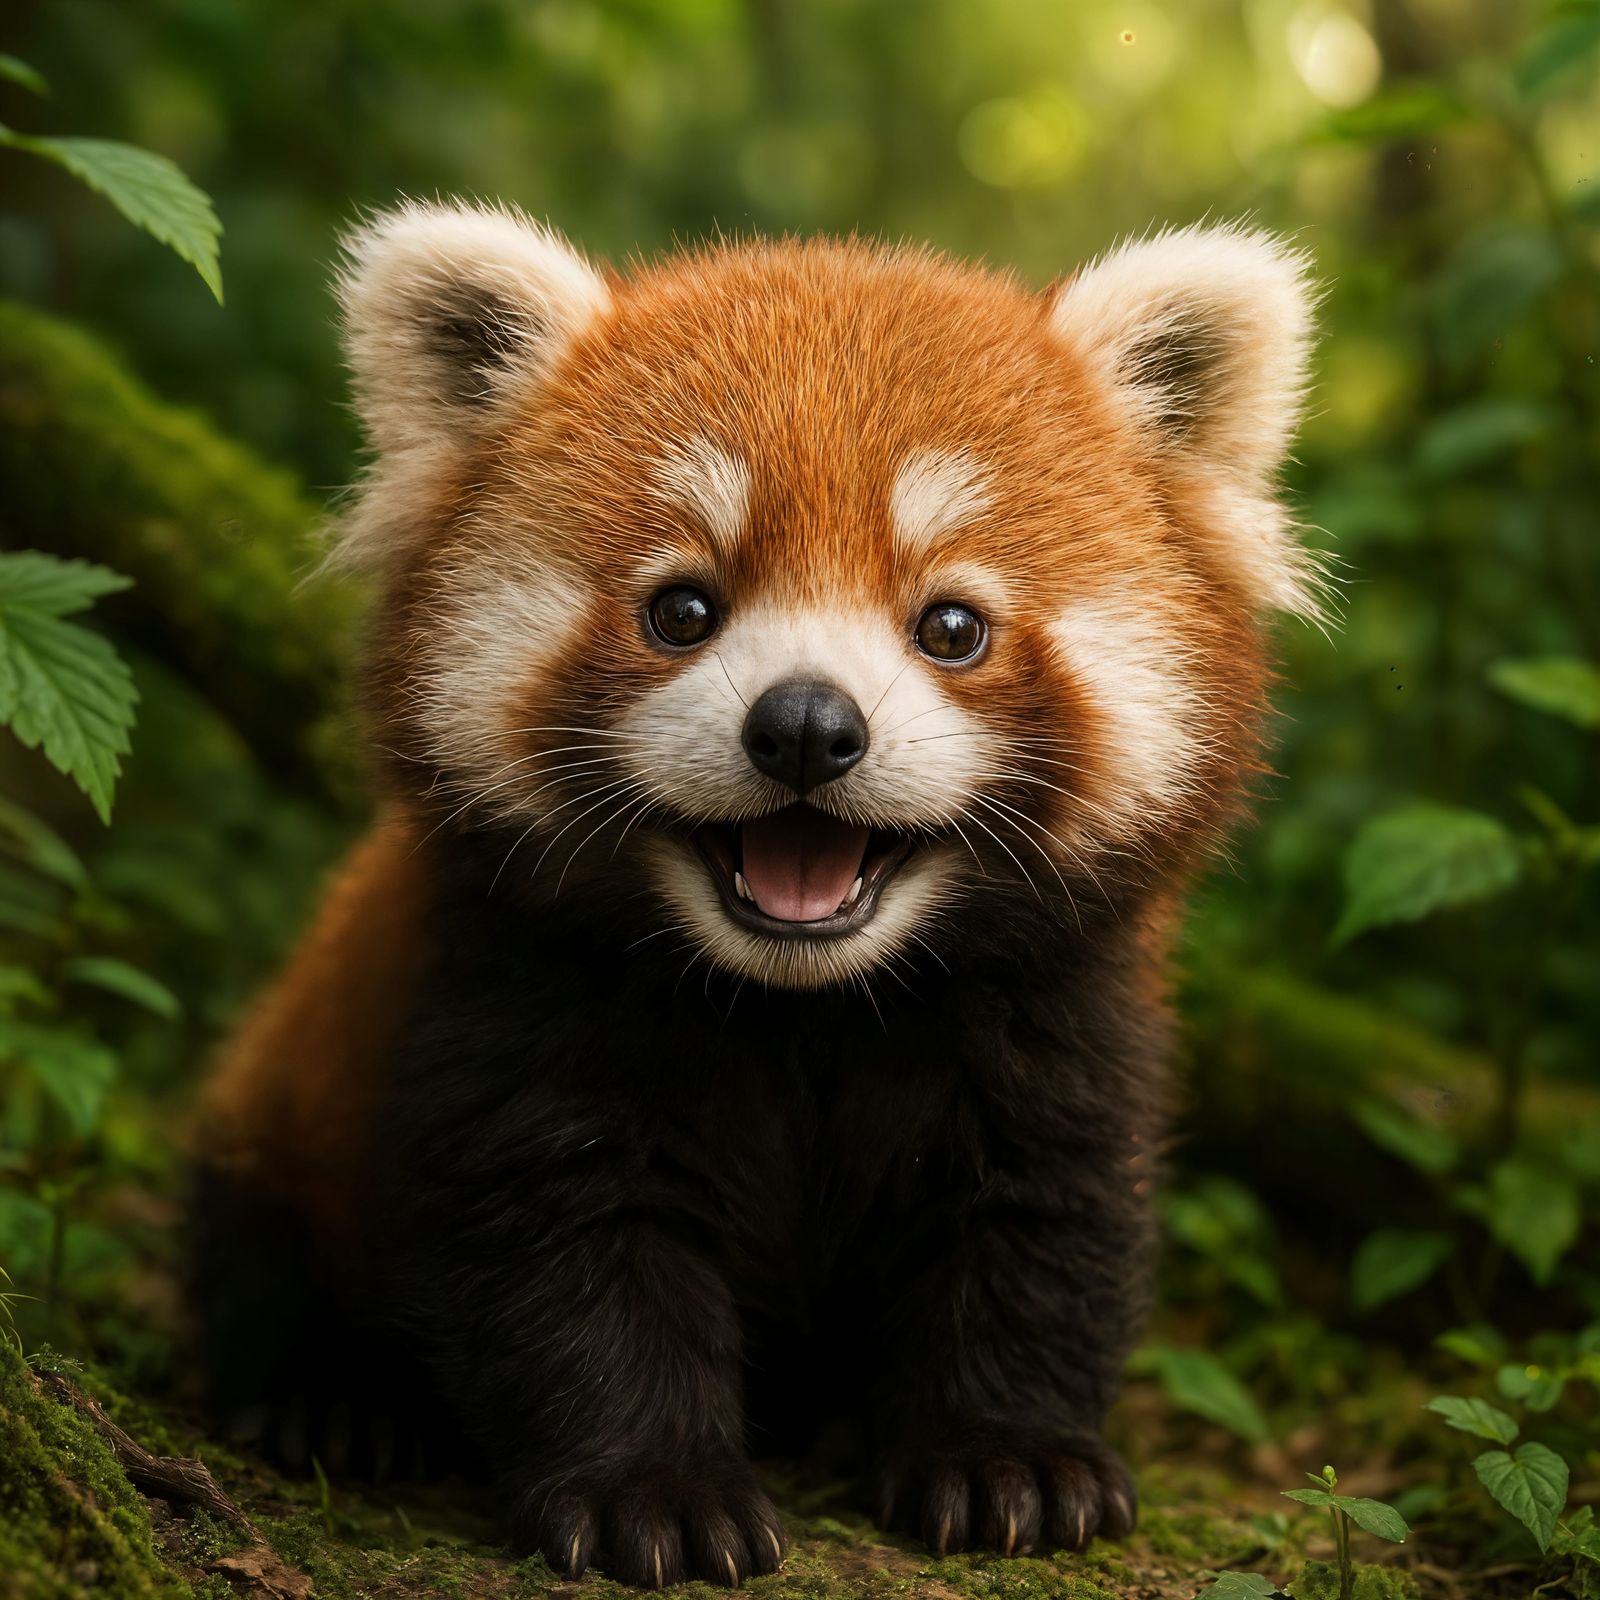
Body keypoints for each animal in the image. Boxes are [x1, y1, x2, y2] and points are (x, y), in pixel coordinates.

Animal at [190, 202, 1319, 1589]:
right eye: (683, 608)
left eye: (951, 626)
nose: (804, 728)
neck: (805, 1005)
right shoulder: (510, 1000)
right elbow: (570, 1244)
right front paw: (654, 1490)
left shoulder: (1064, 1014)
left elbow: (1040, 1215)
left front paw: (1011, 1458)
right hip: (281, 1099)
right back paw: (328, 1397)